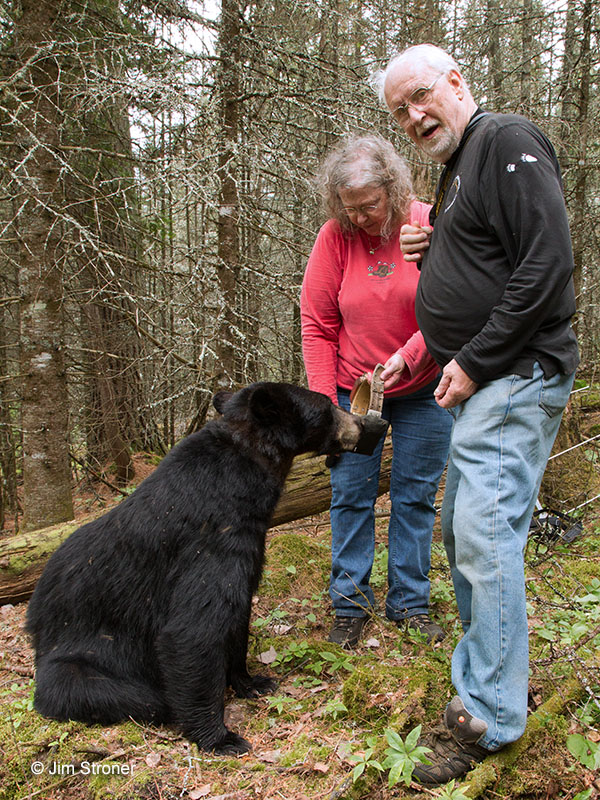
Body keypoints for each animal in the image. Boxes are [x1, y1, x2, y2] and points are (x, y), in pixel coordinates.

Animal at [27, 384, 370, 752]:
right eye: (328, 407)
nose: (362, 424)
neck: (240, 482)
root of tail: (34, 629)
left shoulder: (248, 548)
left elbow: (236, 617)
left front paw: (252, 681)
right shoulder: (208, 544)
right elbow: (193, 629)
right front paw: (221, 736)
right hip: (77, 662)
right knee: (128, 695)